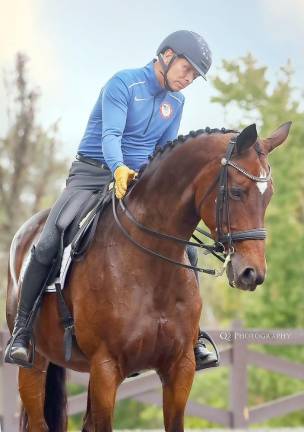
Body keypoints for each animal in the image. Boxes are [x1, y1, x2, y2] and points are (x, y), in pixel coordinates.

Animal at [4, 120, 290, 430]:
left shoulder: (180, 368)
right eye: (237, 191)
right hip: (35, 365)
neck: (151, 268)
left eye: (269, 195)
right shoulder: (106, 367)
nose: (252, 273)